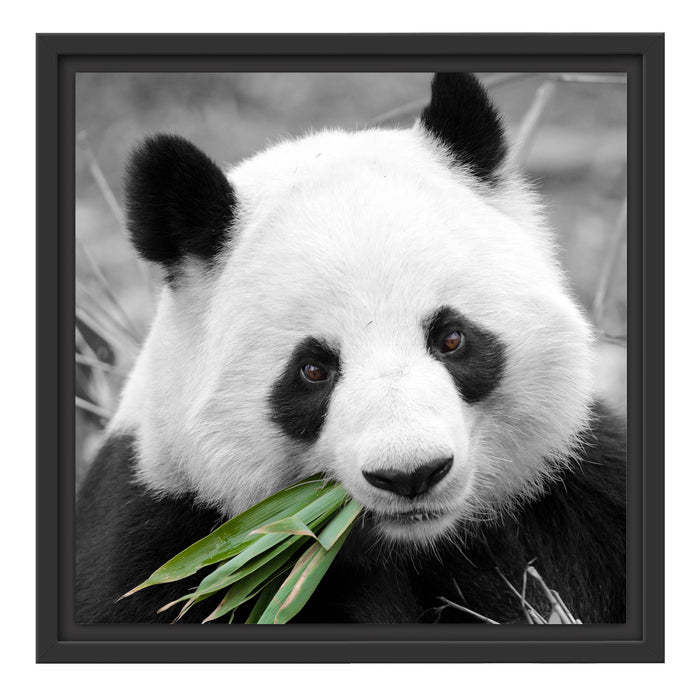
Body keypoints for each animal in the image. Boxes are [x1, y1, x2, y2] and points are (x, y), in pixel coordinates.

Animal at [76, 72, 626, 624]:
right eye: (313, 369)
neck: (415, 544)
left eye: (451, 338)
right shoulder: (168, 539)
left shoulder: (572, 496)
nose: (411, 475)